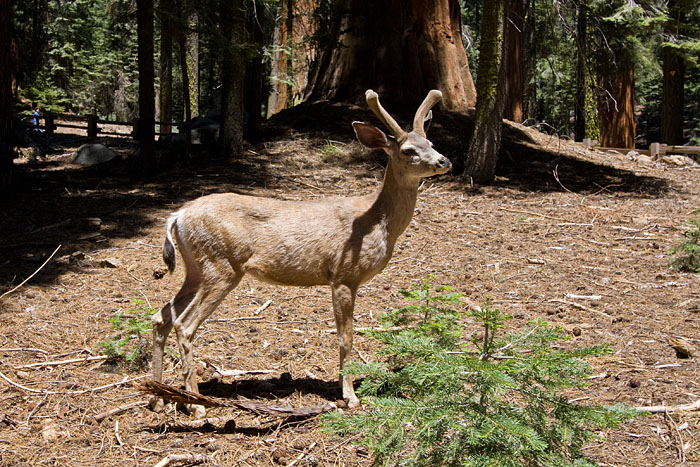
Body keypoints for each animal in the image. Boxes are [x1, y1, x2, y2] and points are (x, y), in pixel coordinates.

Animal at [150, 89, 452, 418]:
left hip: (196, 268)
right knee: (184, 325)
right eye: (409, 150)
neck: (378, 222)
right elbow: (345, 337)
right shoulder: (344, 276)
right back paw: (196, 404)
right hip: (221, 266)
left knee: (161, 317)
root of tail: (177, 216)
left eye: (431, 143)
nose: (444, 160)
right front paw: (350, 396)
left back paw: (158, 397)